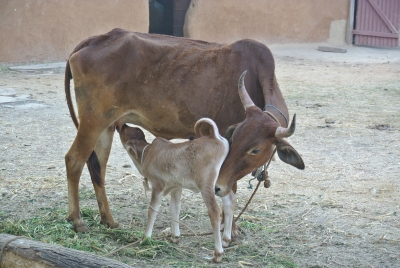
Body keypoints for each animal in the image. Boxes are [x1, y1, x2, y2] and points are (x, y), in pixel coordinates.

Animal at [65, 28, 304, 234]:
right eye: (235, 139)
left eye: (255, 149)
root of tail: (96, 39)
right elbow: (230, 188)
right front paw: (231, 229)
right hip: (93, 121)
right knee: (74, 160)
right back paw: (77, 220)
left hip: (106, 126)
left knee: (98, 168)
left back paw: (109, 220)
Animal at [118, 117, 231, 262]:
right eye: (134, 129)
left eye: (124, 132)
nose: (121, 125)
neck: (146, 154)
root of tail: (214, 137)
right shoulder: (176, 187)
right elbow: (175, 208)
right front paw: (174, 236)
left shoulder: (158, 185)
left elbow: (152, 210)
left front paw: (145, 239)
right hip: (220, 183)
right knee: (229, 204)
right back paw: (226, 239)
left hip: (206, 185)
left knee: (215, 211)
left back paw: (218, 253)